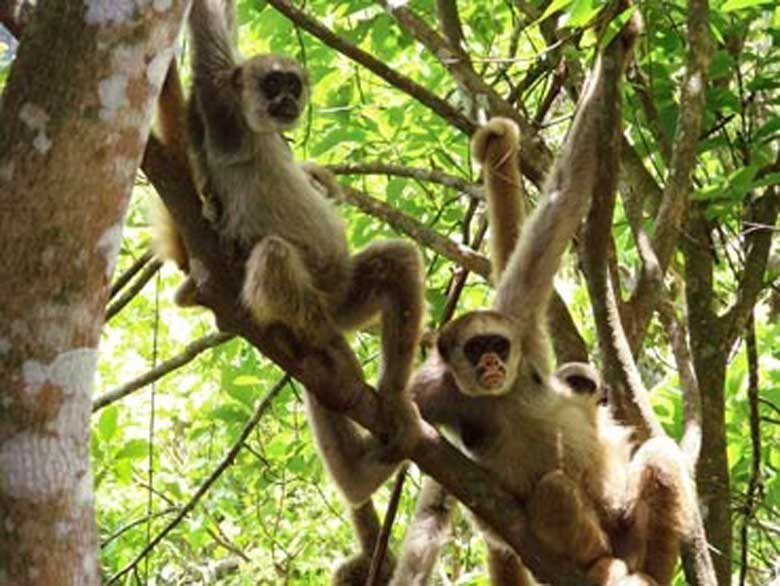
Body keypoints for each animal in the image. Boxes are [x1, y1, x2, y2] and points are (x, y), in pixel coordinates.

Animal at [152, 1, 425, 583]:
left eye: (293, 84)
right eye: (273, 83)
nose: (289, 100)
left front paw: (319, 178)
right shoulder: (220, 108)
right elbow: (209, 41)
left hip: (344, 295)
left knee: (399, 260)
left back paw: (387, 406)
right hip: (315, 301)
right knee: (275, 254)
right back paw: (328, 349)